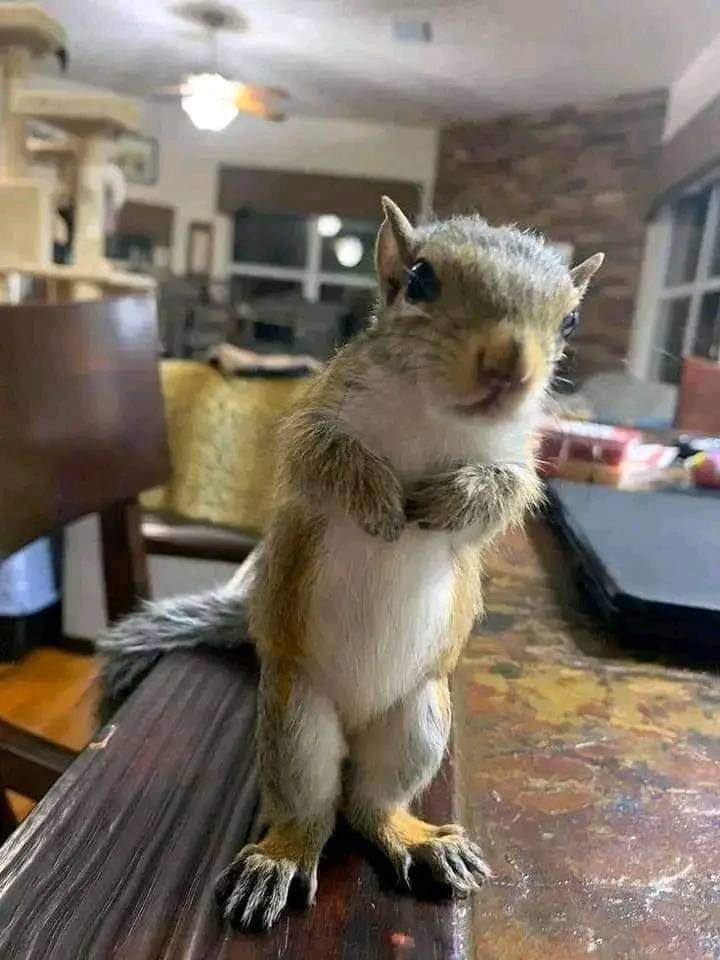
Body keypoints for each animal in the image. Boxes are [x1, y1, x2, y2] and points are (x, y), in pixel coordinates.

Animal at [212, 197, 604, 930]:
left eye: (569, 320)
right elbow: (321, 456)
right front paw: (379, 499)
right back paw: (279, 856)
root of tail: (357, 721)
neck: (435, 412)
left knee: (371, 806)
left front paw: (451, 501)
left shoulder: (519, 454)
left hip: (418, 720)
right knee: (313, 811)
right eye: (420, 280)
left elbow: (506, 492)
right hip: (295, 718)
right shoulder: (321, 408)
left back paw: (419, 841)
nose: (509, 366)